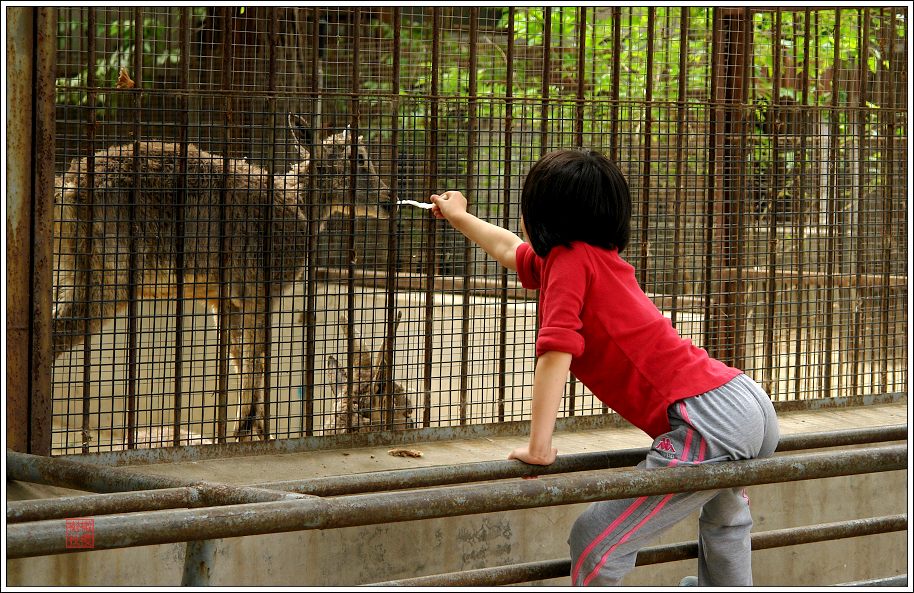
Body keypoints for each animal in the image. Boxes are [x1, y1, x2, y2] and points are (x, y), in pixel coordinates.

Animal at [53, 114, 394, 440]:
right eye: (360, 158)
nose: (389, 200)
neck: (295, 204)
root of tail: (68, 188)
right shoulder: (260, 291)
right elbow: (256, 357)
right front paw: (246, 425)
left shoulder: (224, 300)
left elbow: (237, 357)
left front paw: (251, 428)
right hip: (110, 278)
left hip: (74, 269)